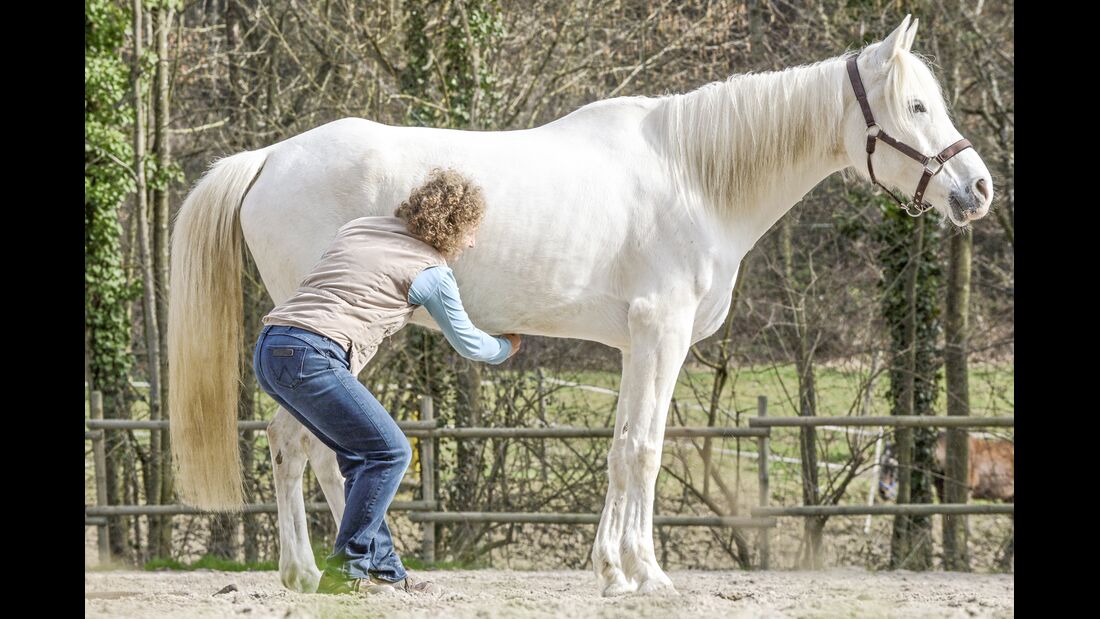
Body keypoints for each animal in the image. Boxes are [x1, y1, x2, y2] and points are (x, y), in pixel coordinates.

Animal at [169, 14, 990, 593]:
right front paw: (647, 574)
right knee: (298, 444)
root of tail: (271, 157)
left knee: (310, 446)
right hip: (340, 337)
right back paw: (314, 572)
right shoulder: (662, 332)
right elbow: (645, 449)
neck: (694, 177)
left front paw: (612, 569)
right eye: (917, 105)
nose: (977, 188)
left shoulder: (637, 344)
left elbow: (622, 446)